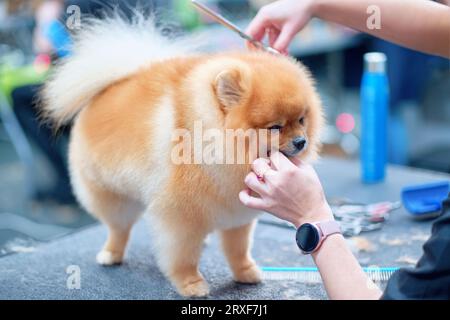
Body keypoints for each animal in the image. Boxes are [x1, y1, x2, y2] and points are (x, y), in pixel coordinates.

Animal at [40, 14, 324, 296]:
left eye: (301, 120)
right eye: (275, 127)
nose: (301, 141)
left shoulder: (237, 216)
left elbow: (238, 249)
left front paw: (245, 272)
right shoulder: (180, 218)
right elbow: (183, 255)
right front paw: (191, 284)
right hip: (112, 196)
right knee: (118, 228)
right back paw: (111, 253)